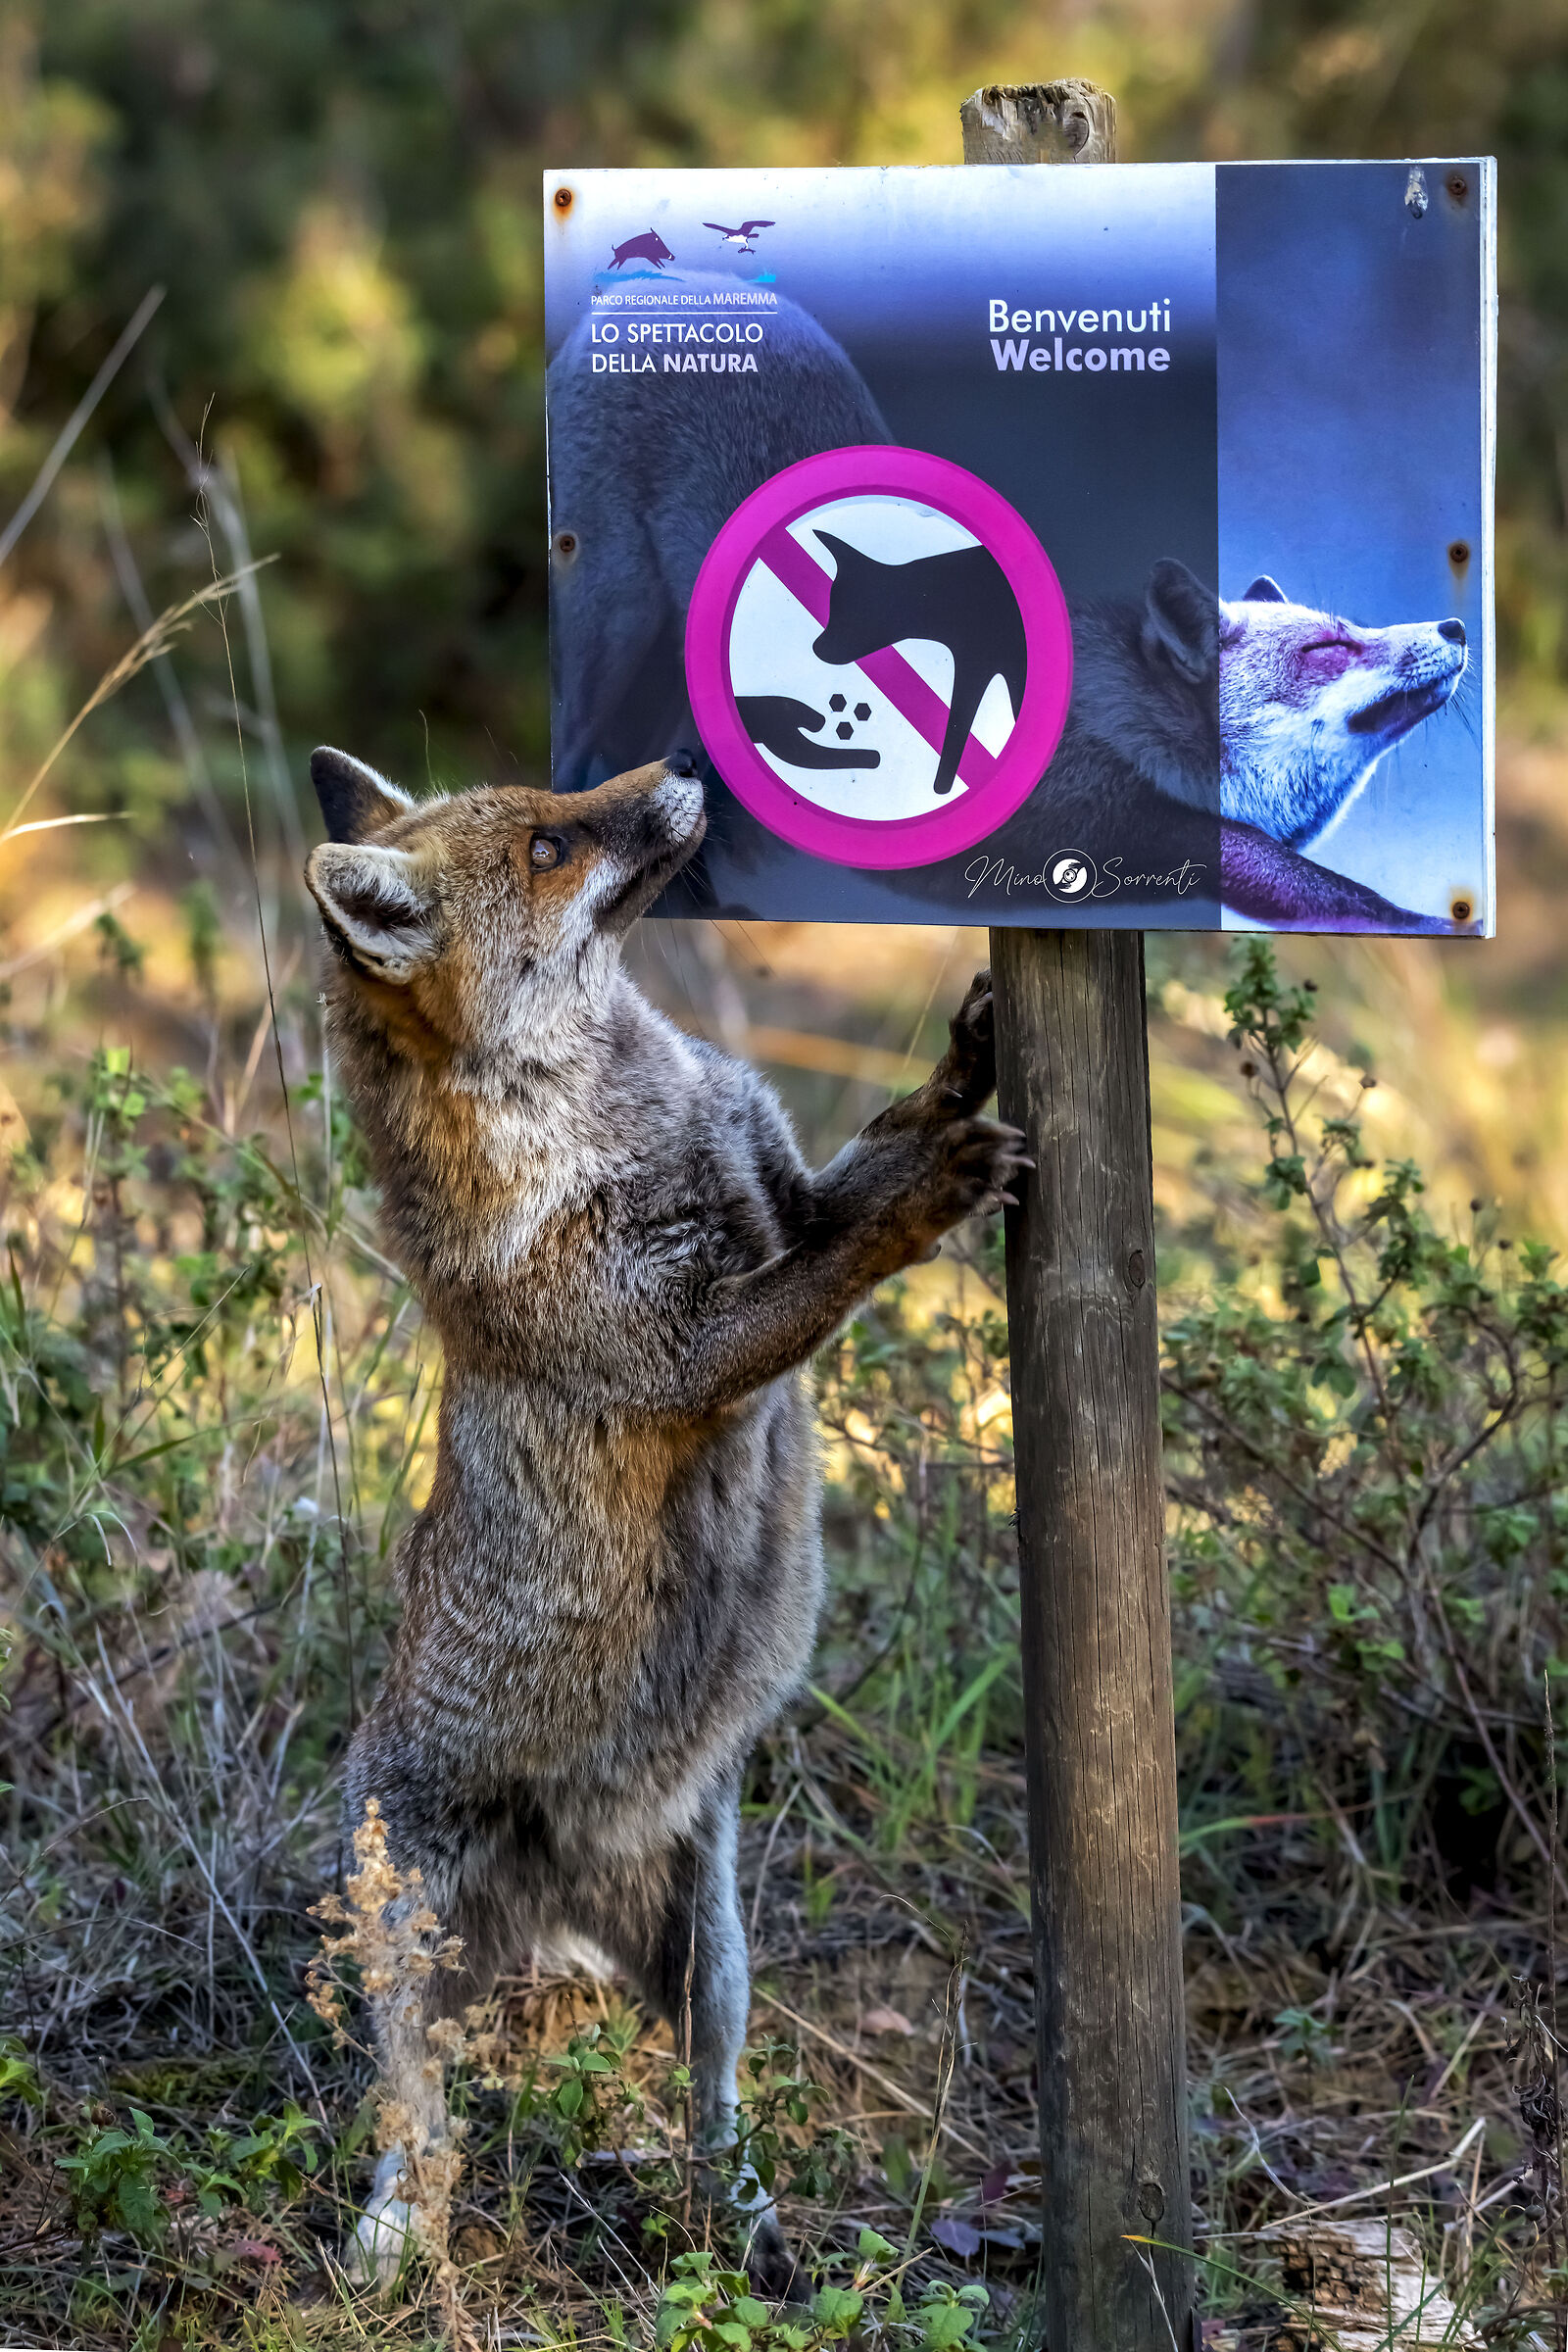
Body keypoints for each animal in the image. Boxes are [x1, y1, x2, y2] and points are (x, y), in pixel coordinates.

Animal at [301, 743, 1028, 2292]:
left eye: (549, 803)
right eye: (547, 848)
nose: (691, 763)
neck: (617, 1116)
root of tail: (558, 1893)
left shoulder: (778, 1189)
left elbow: (862, 1163)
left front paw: (961, 1072)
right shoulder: (691, 1348)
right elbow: (837, 1271)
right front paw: (936, 1195)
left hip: (716, 1963)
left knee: (711, 2115)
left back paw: (747, 2231)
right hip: (408, 1952)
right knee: (420, 2123)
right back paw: (400, 2243)